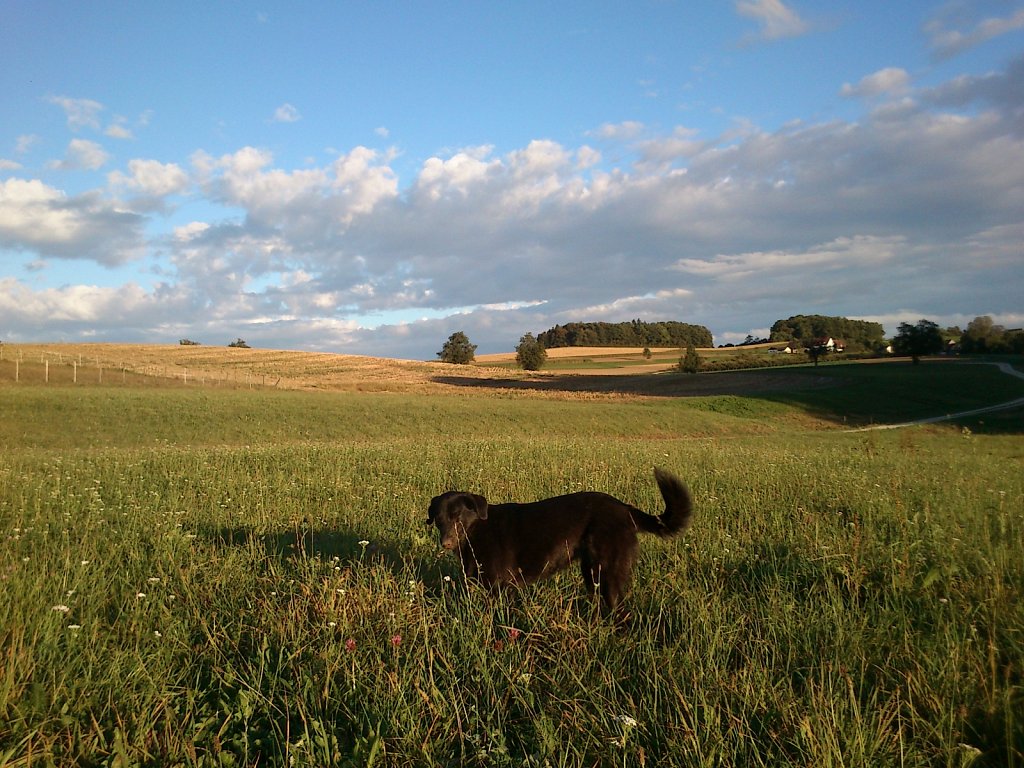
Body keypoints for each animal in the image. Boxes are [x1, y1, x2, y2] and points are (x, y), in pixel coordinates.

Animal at [419, 468, 692, 614]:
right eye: (439, 520)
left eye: (457, 518)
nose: (446, 543)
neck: (478, 529)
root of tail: (625, 509)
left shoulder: (502, 588)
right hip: (591, 572)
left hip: (607, 573)